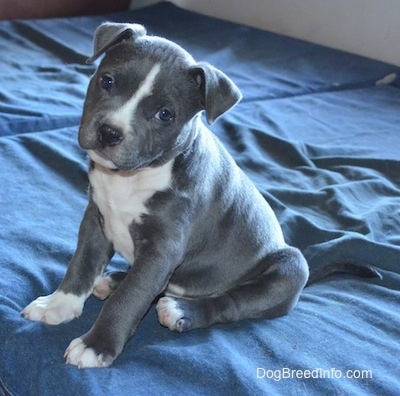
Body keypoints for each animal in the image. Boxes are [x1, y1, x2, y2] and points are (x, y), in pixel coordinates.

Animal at [20, 21, 380, 368]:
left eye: (165, 114)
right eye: (107, 81)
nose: (110, 132)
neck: (133, 177)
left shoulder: (162, 250)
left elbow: (131, 298)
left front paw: (97, 345)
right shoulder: (97, 219)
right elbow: (81, 264)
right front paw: (58, 304)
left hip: (289, 267)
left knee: (230, 303)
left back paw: (181, 311)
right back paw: (115, 280)